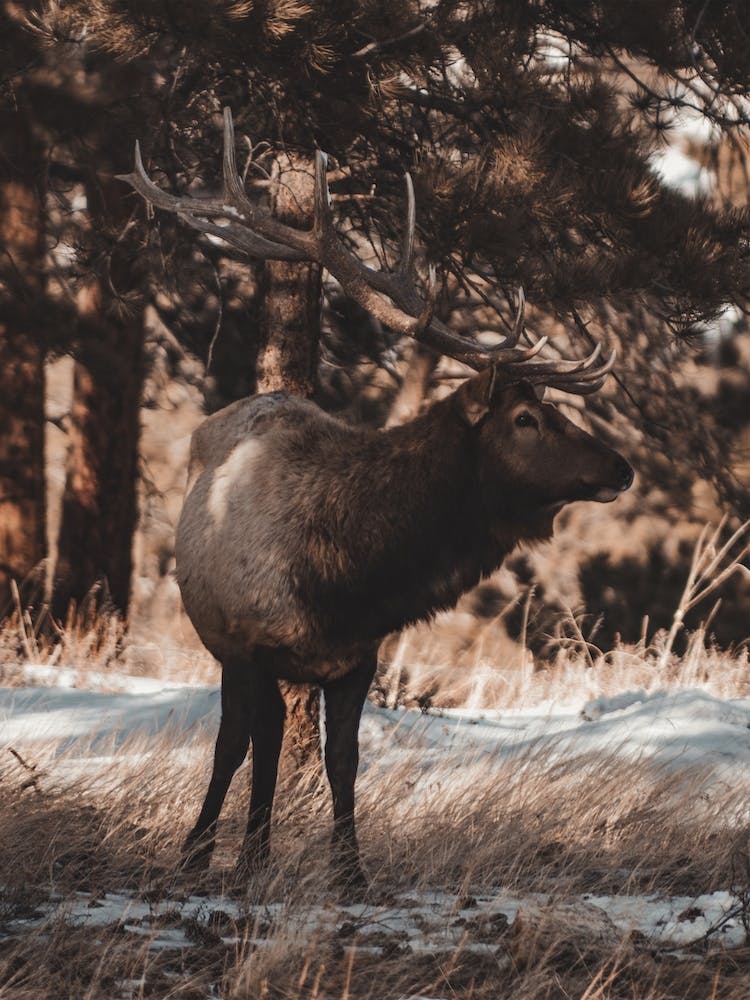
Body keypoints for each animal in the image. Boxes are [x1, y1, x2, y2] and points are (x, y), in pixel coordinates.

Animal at [119, 110, 633, 887]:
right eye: (526, 419)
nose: (622, 466)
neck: (347, 578)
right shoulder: (251, 645)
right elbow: (243, 750)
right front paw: (212, 856)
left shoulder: (358, 658)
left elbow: (344, 760)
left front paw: (350, 873)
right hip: (229, 643)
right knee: (245, 739)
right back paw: (220, 849)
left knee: (268, 739)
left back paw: (244, 850)